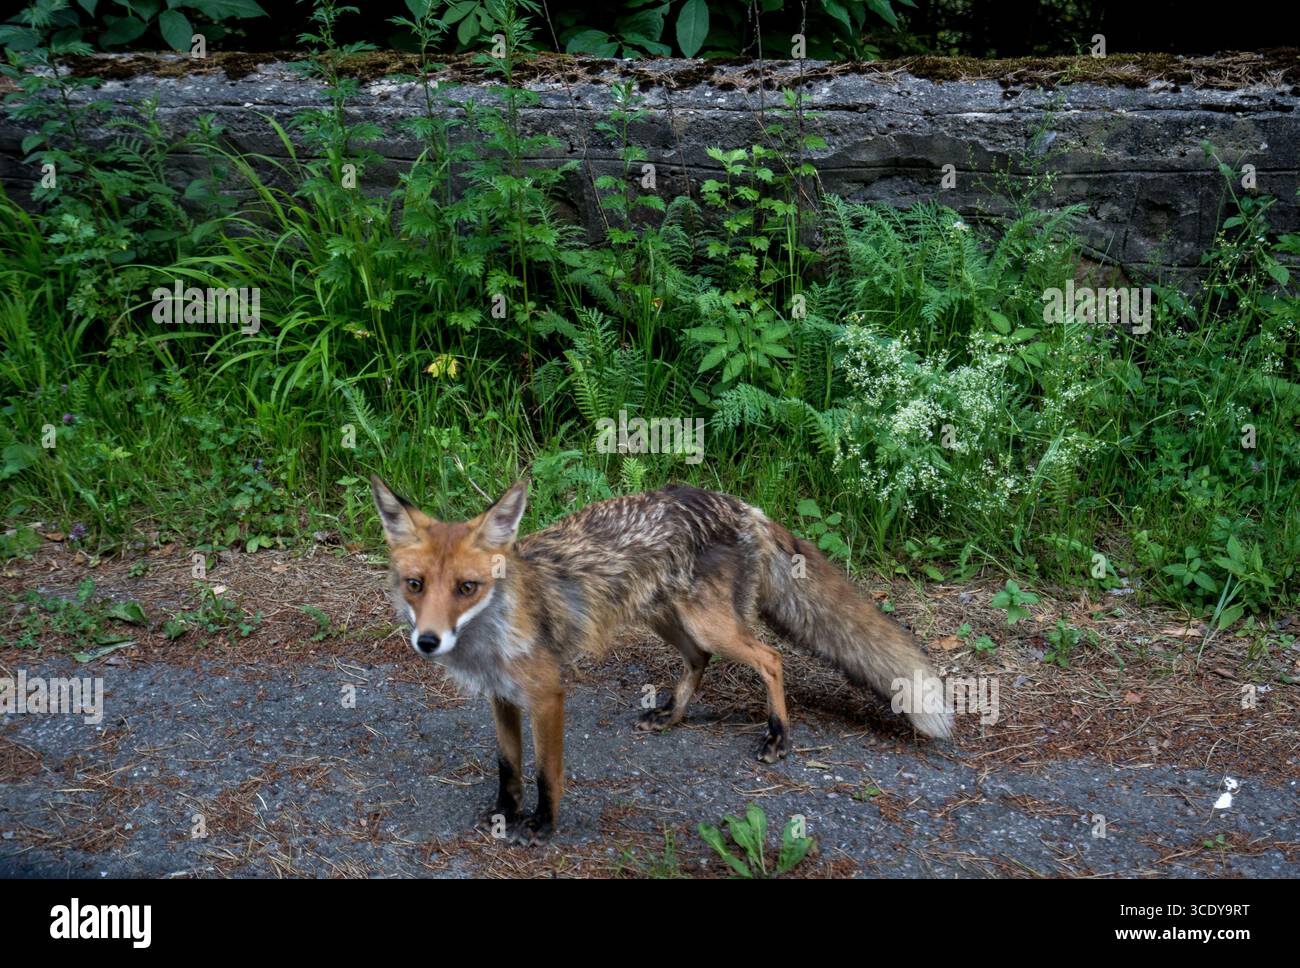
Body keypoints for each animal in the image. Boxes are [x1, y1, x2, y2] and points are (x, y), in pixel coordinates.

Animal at [371, 475, 953, 845]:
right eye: (415, 585)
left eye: (466, 588)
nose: (428, 641)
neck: (491, 631)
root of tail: (739, 503)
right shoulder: (502, 697)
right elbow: (508, 767)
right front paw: (502, 814)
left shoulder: (547, 694)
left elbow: (545, 772)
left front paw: (542, 825)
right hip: (668, 619)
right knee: (700, 659)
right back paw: (673, 715)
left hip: (708, 621)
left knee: (770, 658)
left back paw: (778, 736)